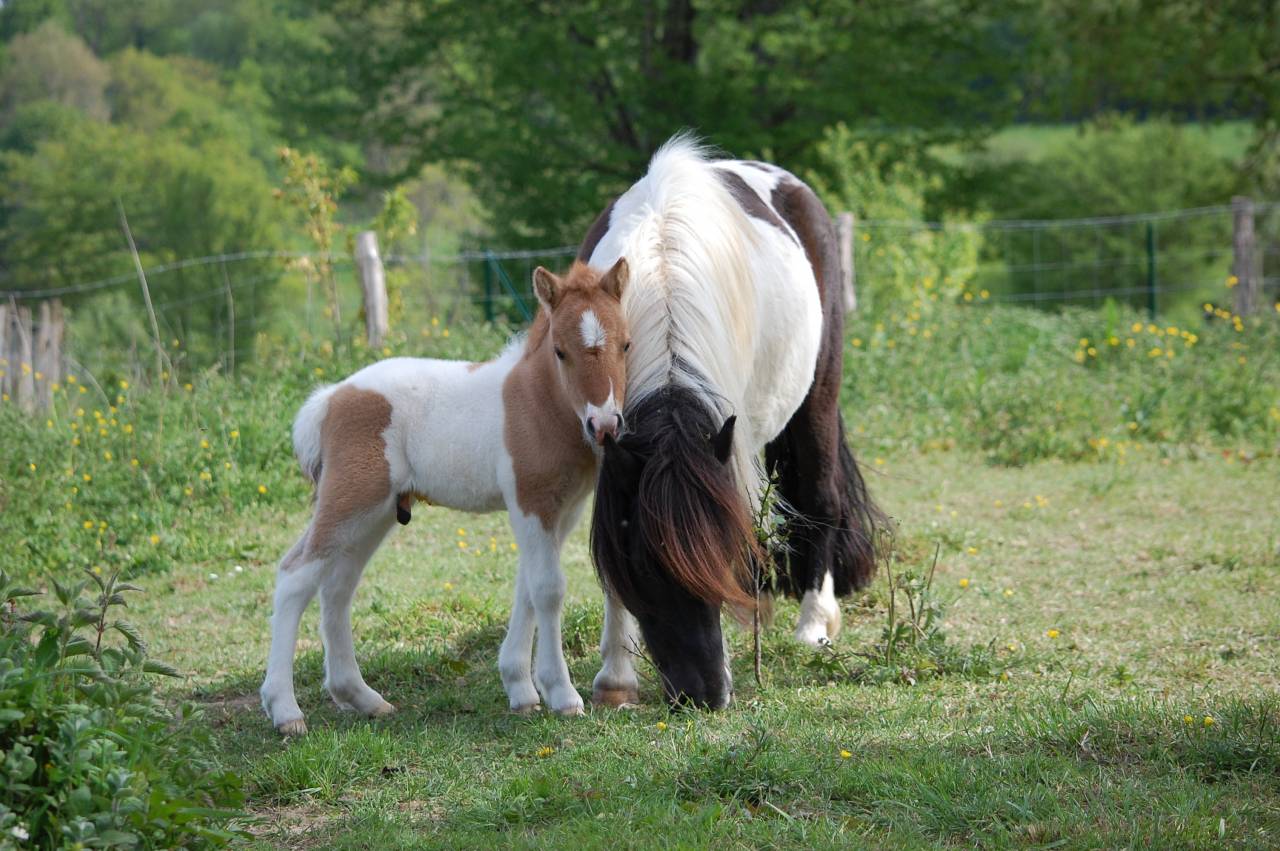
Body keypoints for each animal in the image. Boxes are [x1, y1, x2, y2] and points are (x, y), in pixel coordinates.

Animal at [260, 259, 630, 734]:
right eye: (561, 351)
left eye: (625, 344)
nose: (604, 426)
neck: (538, 404)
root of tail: (329, 399)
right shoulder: (530, 502)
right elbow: (548, 588)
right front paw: (562, 694)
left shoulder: (565, 509)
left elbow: (527, 586)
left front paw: (522, 690)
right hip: (351, 500)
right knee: (295, 576)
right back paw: (285, 710)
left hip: (376, 514)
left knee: (337, 588)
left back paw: (362, 698)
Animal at [583, 137, 884, 710]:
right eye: (644, 571)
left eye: (719, 557)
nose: (704, 694)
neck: (661, 276)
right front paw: (615, 676)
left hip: (815, 399)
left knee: (821, 499)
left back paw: (813, 625)